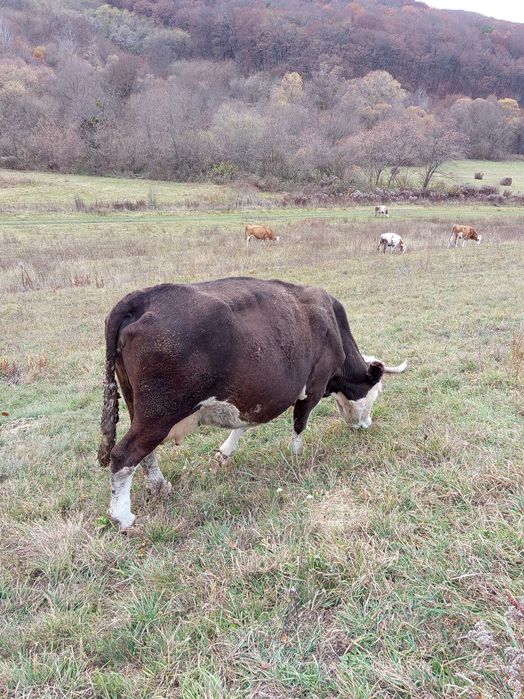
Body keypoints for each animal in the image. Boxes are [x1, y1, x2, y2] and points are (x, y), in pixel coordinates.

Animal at [97, 277, 406, 531]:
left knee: (145, 454)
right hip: (158, 414)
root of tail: (143, 297)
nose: (367, 424)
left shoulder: (254, 398)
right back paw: (123, 518)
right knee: (123, 455)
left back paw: (159, 486)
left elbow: (244, 425)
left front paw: (225, 452)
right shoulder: (314, 386)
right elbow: (300, 422)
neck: (334, 328)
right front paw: (297, 455)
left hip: (138, 406)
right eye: (375, 393)